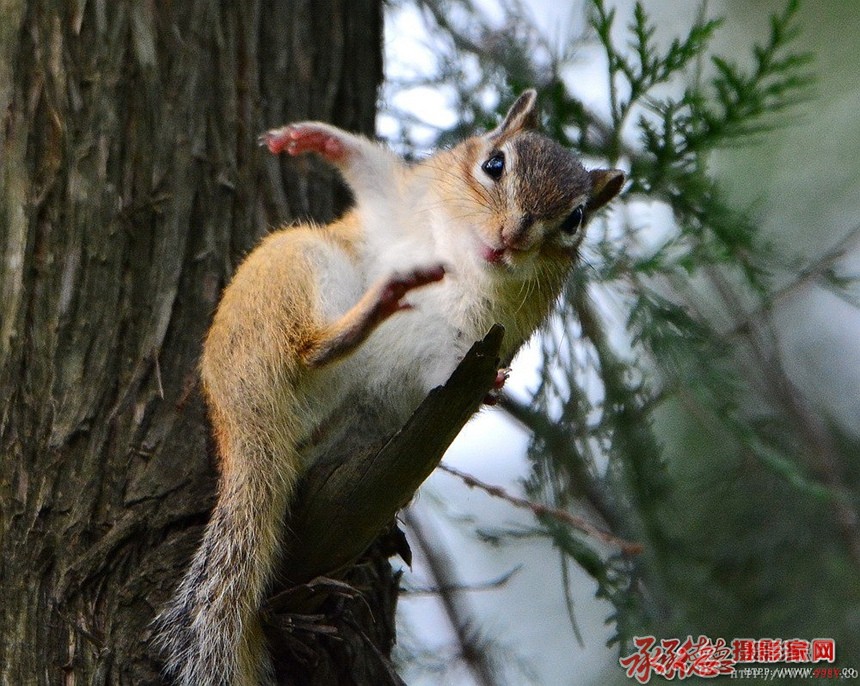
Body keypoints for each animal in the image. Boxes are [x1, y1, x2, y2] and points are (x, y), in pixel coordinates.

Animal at [155, 88, 624, 684]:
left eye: (576, 219)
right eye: (494, 164)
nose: (513, 236)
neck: (462, 263)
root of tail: (245, 427)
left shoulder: (467, 340)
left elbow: (448, 370)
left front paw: (491, 387)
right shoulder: (399, 203)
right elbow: (371, 170)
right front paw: (314, 137)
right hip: (296, 265)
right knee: (307, 348)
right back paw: (376, 304)